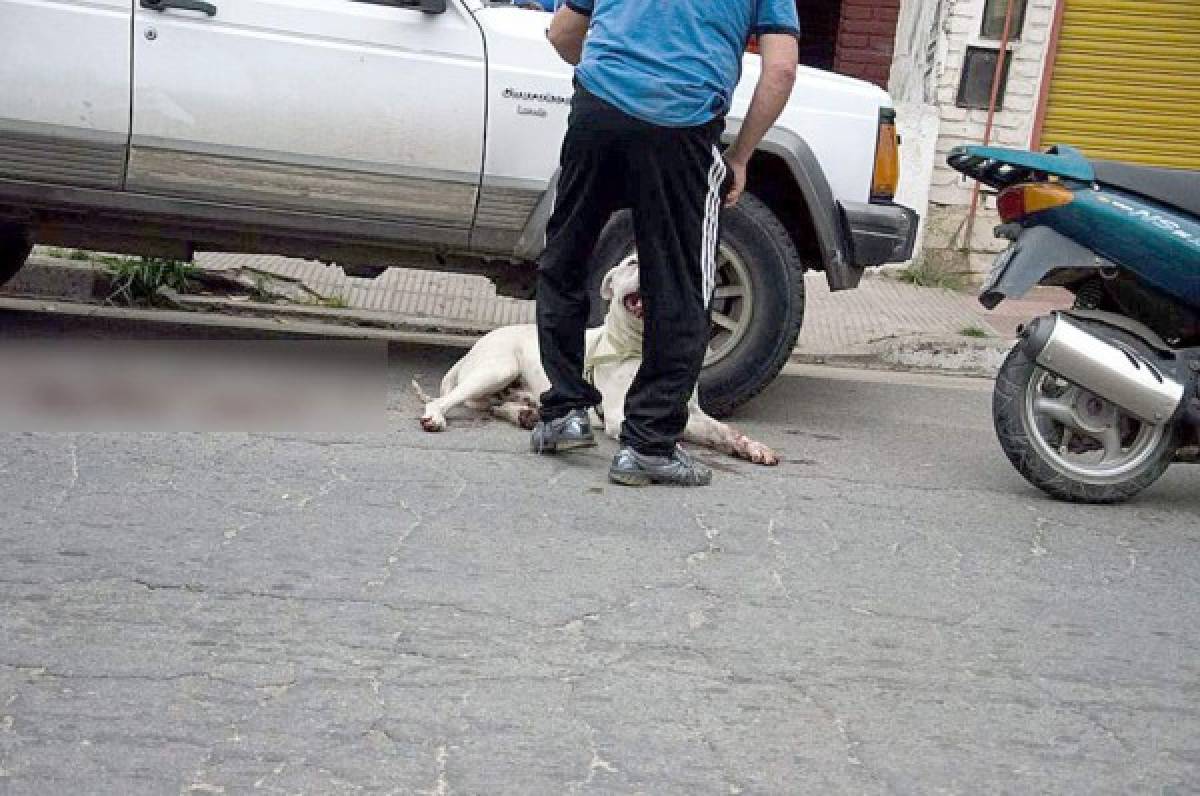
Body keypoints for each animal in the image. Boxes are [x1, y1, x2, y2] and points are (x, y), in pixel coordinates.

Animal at [420, 261, 777, 468]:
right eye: (632, 262)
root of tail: (471, 351)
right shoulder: (620, 416)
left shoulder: (695, 414)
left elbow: (724, 431)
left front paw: (752, 447)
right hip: (497, 368)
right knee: (448, 399)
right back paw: (437, 416)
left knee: (492, 405)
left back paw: (525, 414)